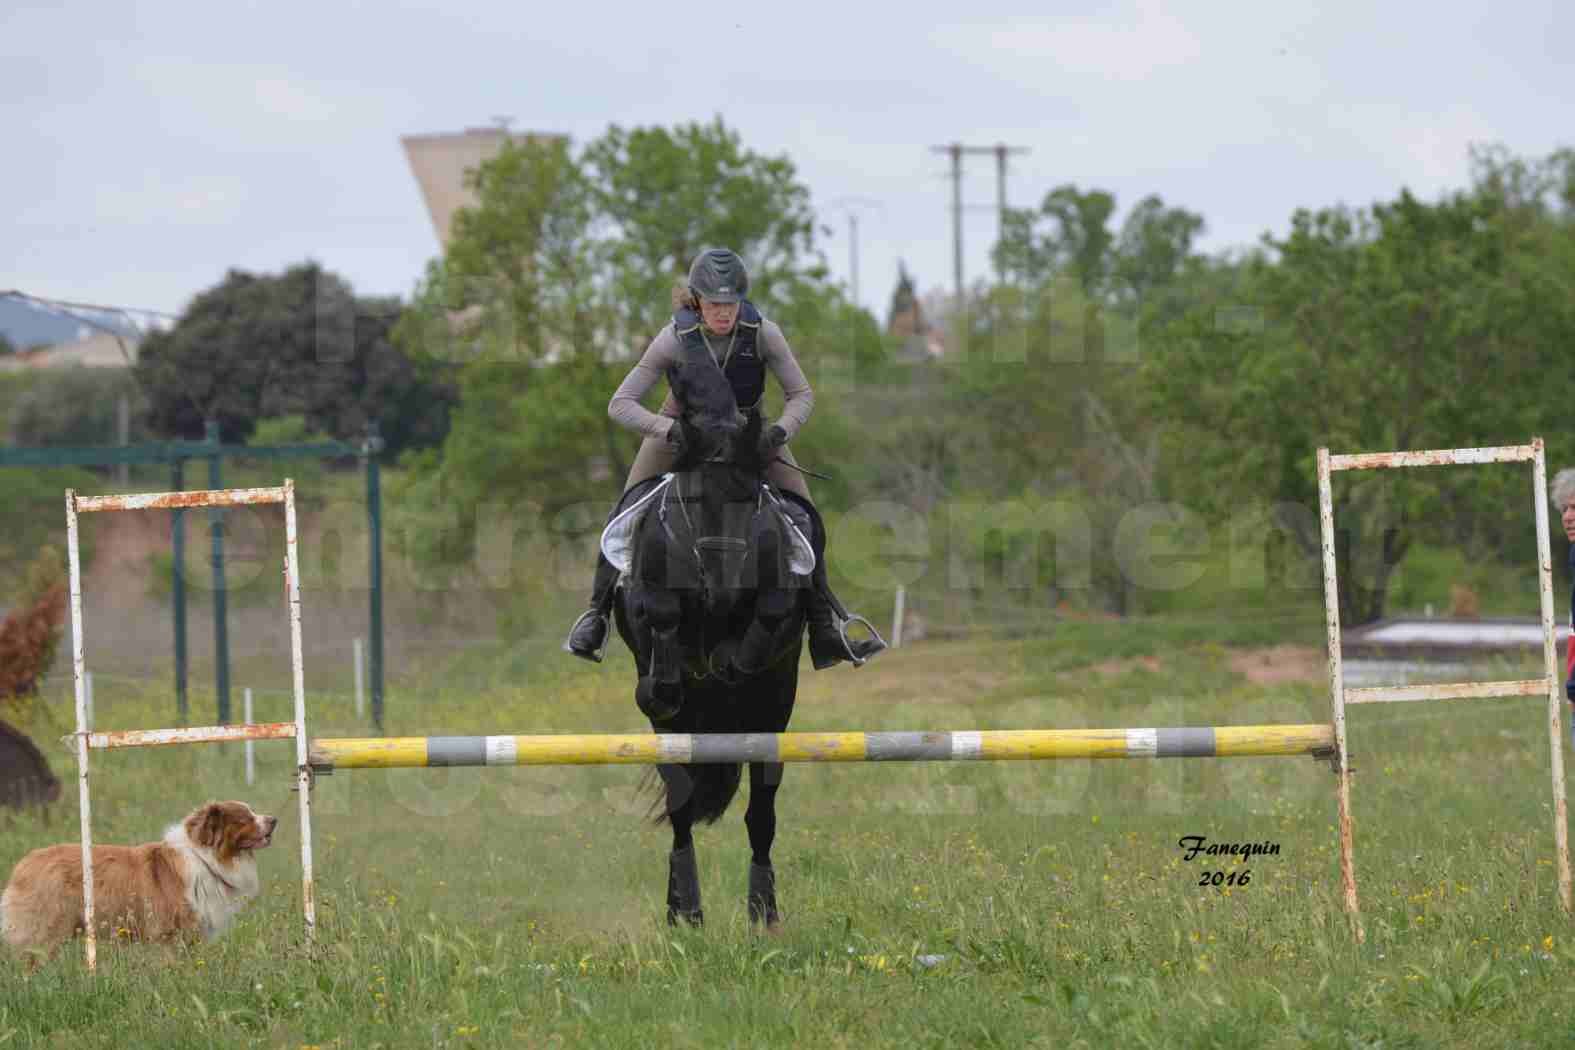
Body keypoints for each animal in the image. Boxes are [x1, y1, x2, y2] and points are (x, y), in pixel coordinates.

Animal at [0, 805, 275, 963]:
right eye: (245, 818)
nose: (274, 819)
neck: (204, 858)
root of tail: (23, 864)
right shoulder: (170, 934)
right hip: (47, 931)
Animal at [607, 351, 819, 925]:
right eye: (696, 496)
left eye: (750, 496)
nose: (721, 588)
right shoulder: (647, 597)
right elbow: (657, 616)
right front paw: (666, 680)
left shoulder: (780, 604)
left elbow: (767, 618)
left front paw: (728, 659)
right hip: (672, 738)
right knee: (680, 810)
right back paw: (685, 911)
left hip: (774, 720)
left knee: (761, 816)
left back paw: (763, 911)